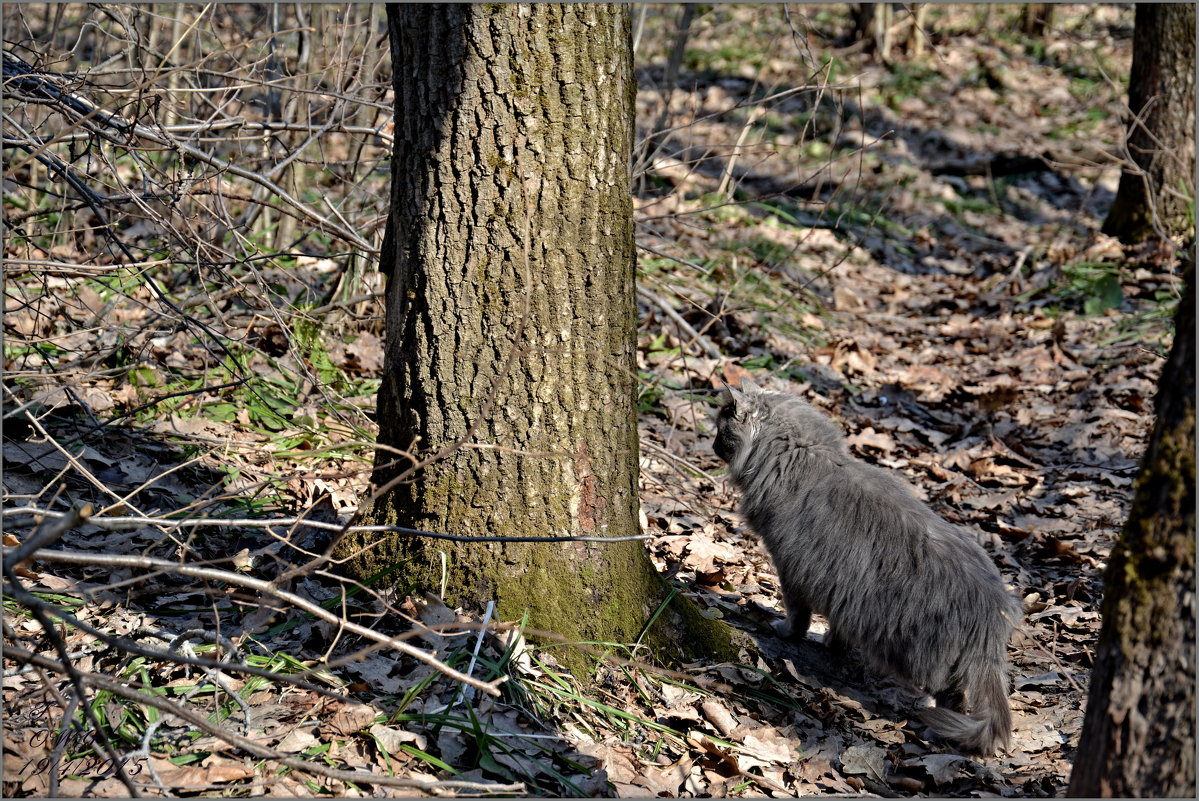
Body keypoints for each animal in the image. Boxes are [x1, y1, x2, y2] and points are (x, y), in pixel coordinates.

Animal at [714, 378, 1016, 753]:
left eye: (721, 429)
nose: (712, 444)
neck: (802, 454)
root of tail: (993, 610)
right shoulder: (840, 590)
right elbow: (838, 627)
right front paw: (831, 644)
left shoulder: (791, 567)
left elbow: (797, 614)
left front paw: (785, 630)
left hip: (923, 652)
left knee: (952, 697)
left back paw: (936, 730)